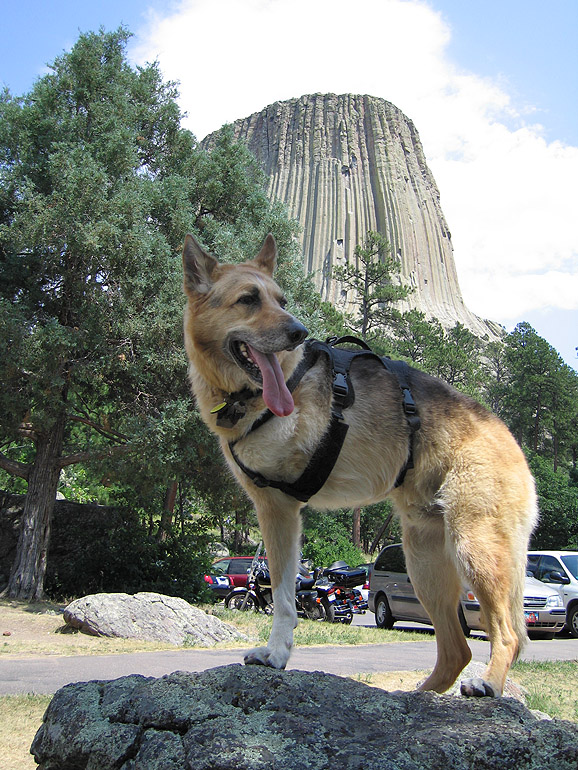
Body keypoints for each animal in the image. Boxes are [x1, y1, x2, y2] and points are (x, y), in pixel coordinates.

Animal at [183, 231, 536, 692]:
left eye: (280, 300)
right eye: (247, 299)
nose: (299, 331)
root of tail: (508, 436)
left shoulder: (278, 510)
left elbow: (282, 597)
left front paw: (276, 655)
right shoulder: (276, 511)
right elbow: (283, 593)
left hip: (475, 549)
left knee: (506, 634)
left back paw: (488, 683)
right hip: (425, 564)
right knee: (456, 650)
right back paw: (422, 694)